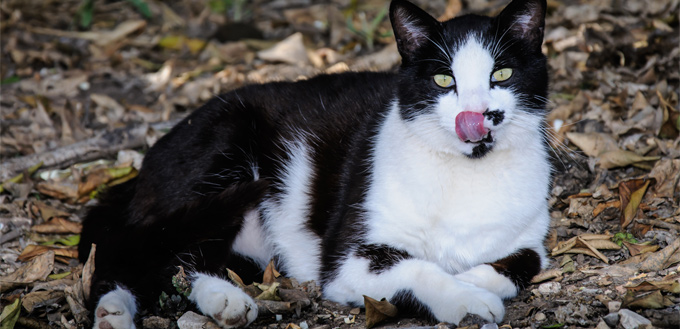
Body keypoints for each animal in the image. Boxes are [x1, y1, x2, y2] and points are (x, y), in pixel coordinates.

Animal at [77, 0, 548, 326]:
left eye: (502, 75)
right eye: (443, 80)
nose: (476, 115)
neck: (466, 175)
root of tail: (138, 173)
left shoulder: (531, 240)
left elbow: (521, 264)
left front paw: (471, 279)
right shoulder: (348, 259)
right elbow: (420, 270)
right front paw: (467, 298)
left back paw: (221, 299)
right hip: (221, 151)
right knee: (138, 252)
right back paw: (117, 311)